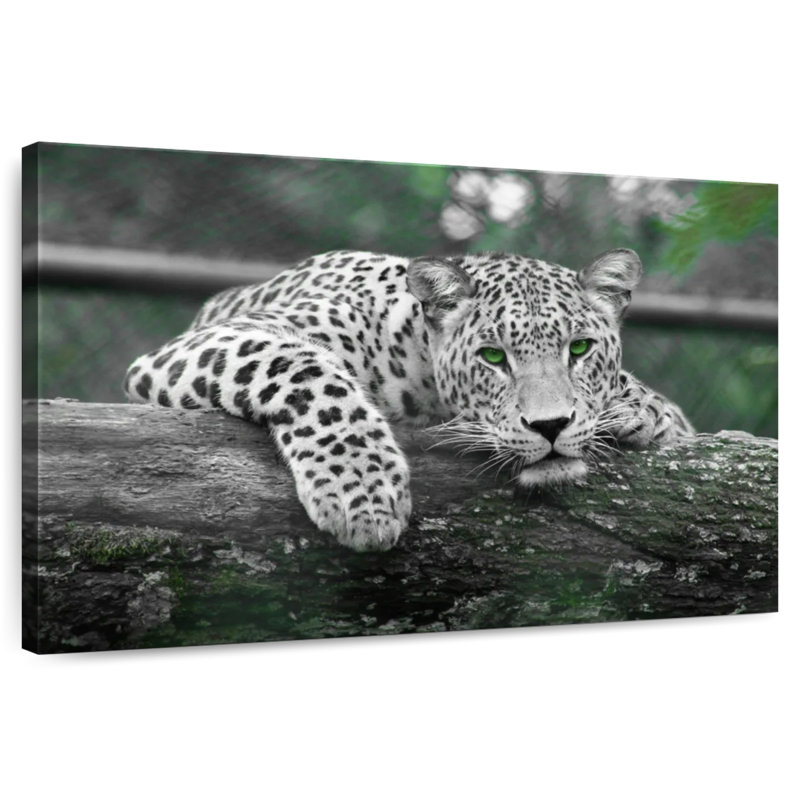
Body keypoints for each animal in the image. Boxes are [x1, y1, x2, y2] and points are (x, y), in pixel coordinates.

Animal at [124, 248, 694, 552]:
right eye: (492, 356)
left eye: (579, 348)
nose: (550, 426)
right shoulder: (210, 342)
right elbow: (307, 369)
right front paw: (361, 489)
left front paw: (643, 410)